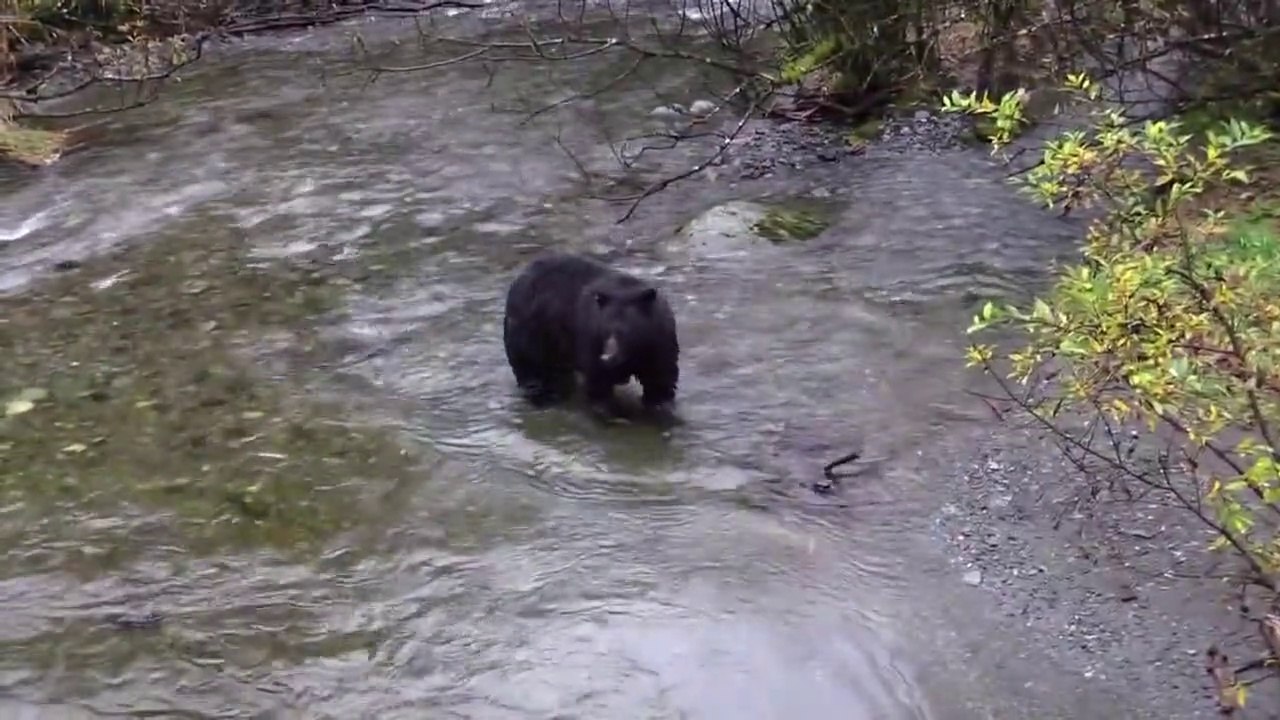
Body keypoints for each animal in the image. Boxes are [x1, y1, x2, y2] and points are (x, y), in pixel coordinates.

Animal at [502, 252, 680, 412]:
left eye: (624, 332)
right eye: (605, 330)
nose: (607, 358)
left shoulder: (660, 342)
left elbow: (660, 377)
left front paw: (660, 404)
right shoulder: (590, 338)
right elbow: (598, 378)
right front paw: (605, 407)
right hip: (530, 328)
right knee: (529, 364)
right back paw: (539, 391)